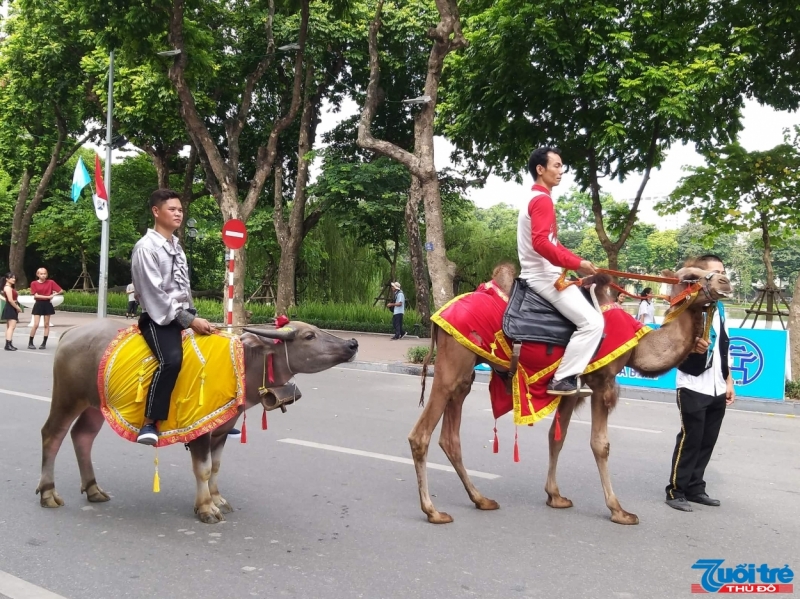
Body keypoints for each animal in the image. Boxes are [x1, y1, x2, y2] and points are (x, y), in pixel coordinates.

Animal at [36, 322, 358, 524]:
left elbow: (215, 467)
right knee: (52, 434)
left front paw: (217, 499)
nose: (352, 343)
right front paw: (205, 508)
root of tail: (71, 332)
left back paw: (93, 490)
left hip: (96, 405)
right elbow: (202, 469)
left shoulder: (222, 430)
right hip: (67, 397)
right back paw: (49, 493)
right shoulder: (199, 429)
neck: (243, 363)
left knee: (82, 436)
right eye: (309, 336)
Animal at [412, 266, 732, 524]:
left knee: (450, 437)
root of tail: (438, 316)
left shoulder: (571, 388)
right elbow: (600, 445)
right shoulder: (602, 381)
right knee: (421, 435)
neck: (638, 346)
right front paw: (619, 510)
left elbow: (558, 437)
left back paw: (481, 500)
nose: (725, 280)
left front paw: (555, 496)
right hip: (452, 365)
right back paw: (433, 511)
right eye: (691, 276)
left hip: (463, 375)